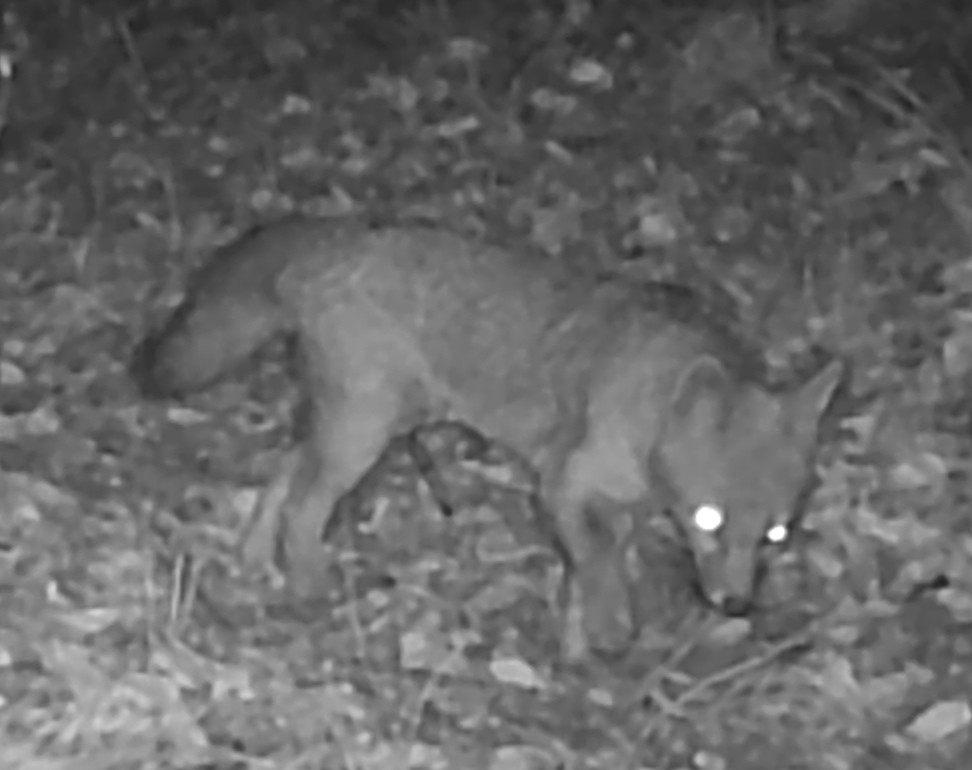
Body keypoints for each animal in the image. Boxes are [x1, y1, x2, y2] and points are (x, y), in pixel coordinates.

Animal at [134, 216, 844, 658]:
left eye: (776, 534)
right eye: (709, 519)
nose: (734, 604)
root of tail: (334, 231)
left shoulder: (613, 508)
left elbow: (590, 573)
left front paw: (577, 648)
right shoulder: (563, 487)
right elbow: (599, 568)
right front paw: (609, 631)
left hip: (362, 426)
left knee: (282, 478)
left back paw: (255, 561)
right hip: (362, 437)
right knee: (303, 508)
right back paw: (310, 586)